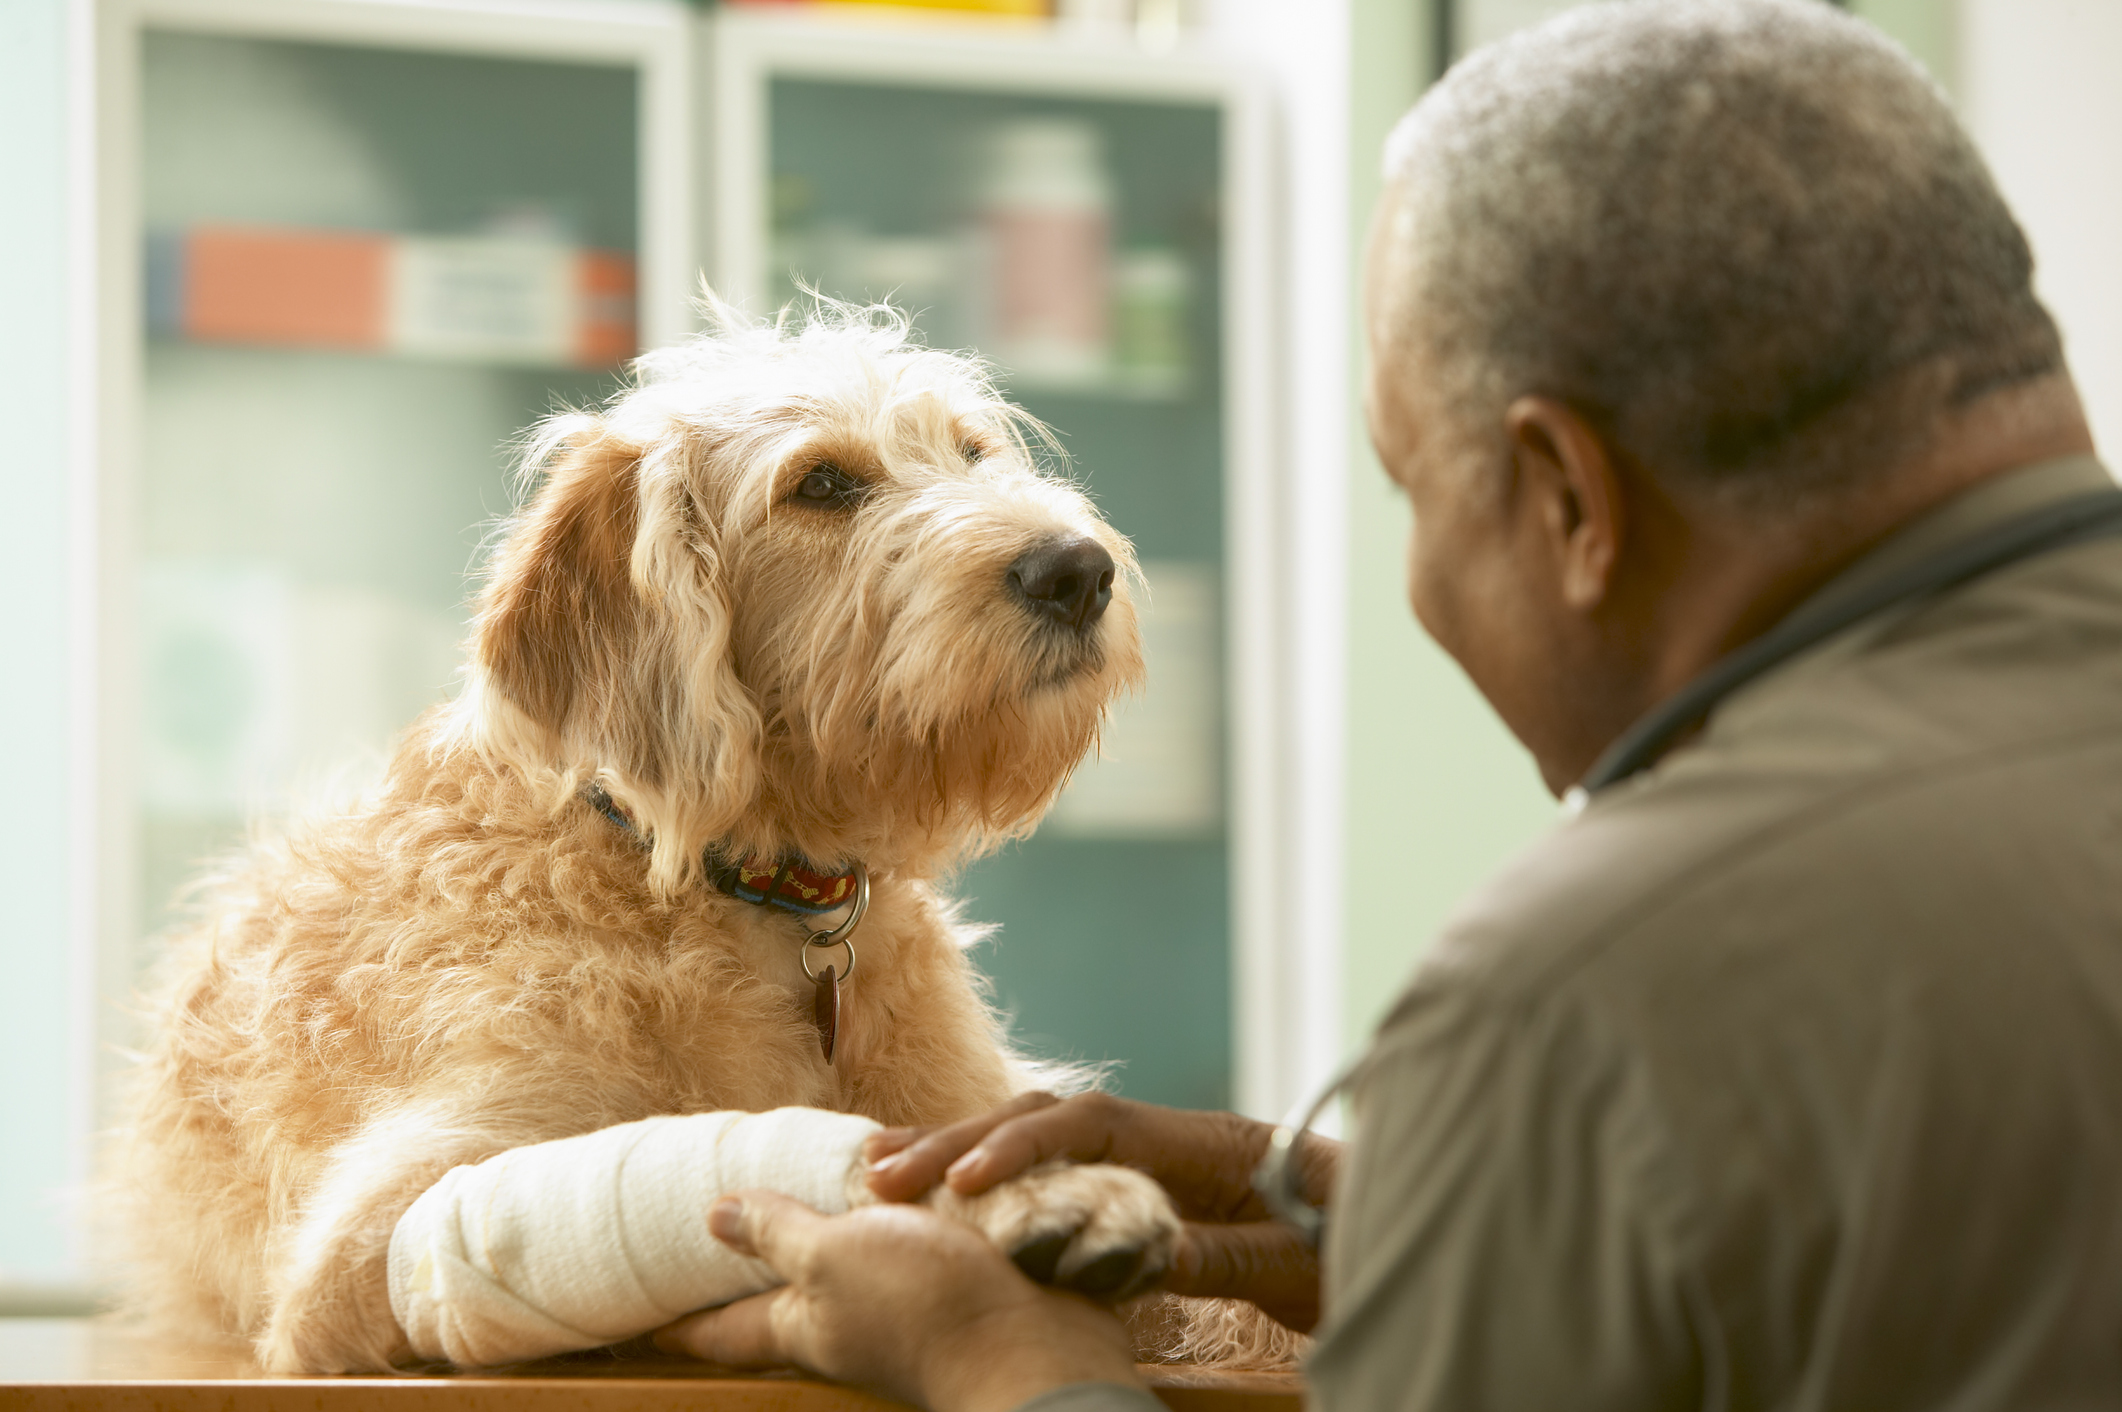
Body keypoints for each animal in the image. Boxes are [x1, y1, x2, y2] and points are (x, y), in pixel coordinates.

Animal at [116, 303, 1222, 1367]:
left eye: (972, 451)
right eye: (822, 482)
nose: (1078, 570)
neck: (737, 891)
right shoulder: (393, 1231)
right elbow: (836, 1157)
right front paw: (1042, 1193)